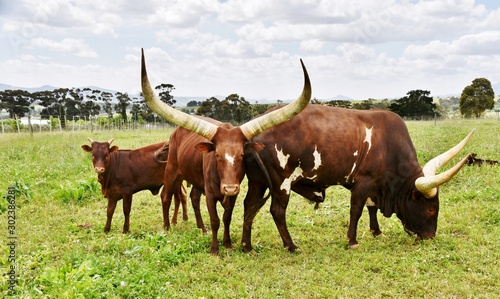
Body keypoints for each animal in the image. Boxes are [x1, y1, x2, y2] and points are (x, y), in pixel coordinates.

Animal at [141, 49, 310, 255]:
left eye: (242, 155)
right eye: (217, 155)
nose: (229, 187)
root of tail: (175, 132)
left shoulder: (233, 194)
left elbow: (226, 218)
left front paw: (227, 243)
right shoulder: (211, 193)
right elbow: (215, 220)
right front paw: (215, 249)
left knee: (194, 198)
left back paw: (201, 228)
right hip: (172, 169)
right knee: (166, 196)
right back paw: (166, 227)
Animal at [240, 105, 474, 253]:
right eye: (431, 209)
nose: (430, 236)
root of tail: (253, 136)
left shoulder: (375, 185)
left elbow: (371, 207)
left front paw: (376, 231)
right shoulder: (364, 181)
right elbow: (357, 210)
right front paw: (352, 241)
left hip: (257, 182)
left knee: (249, 206)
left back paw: (247, 246)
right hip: (282, 182)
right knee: (277, 211)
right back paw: (291, 246)